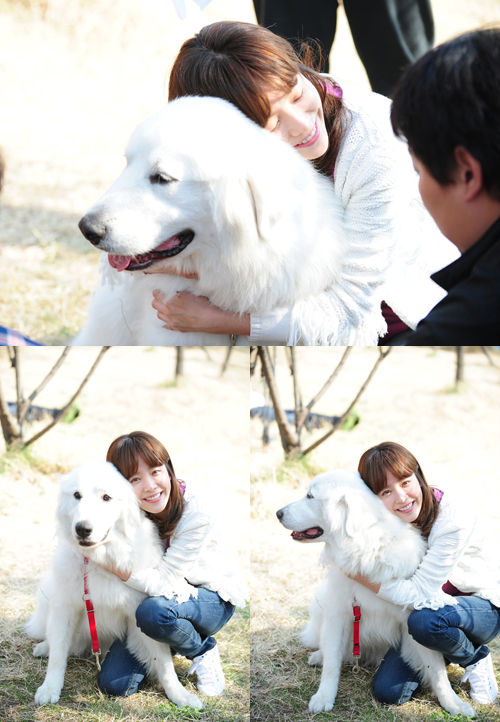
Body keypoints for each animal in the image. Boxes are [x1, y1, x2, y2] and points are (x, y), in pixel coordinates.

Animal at [25, 461, 202, 709]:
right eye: (76, 495)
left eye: (106, 497)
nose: (82, 528)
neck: (99, 559)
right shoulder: (65, 607)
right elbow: (58, 653)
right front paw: (50, 688)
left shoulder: (139, 613)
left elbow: (164, 662)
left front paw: (179, 695)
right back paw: (43, 647)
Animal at [276, 470, 475, 717]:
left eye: (310, 496)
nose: (278, 513)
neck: (365, 547)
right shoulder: (337, 614)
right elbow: (332, 663)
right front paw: (324, 697)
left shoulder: (413, 615)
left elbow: (437, 670)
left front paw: (453, 703)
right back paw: (318, 656)